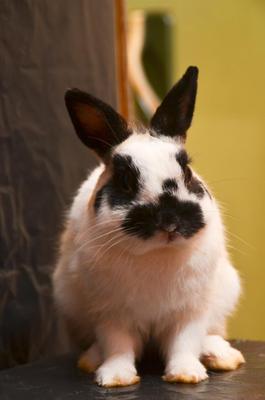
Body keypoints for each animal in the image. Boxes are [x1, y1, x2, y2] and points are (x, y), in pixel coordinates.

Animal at [52, 66, 244, 388]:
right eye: (125, 181)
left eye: (187, 172)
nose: (169, 221)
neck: (155, 255)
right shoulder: (110, 314)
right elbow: (118, 345)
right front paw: (115, 377)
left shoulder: (190, 312)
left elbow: (184, 343)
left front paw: (186, 374)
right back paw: (91, 359)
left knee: (210, 333)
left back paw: (221, 355)